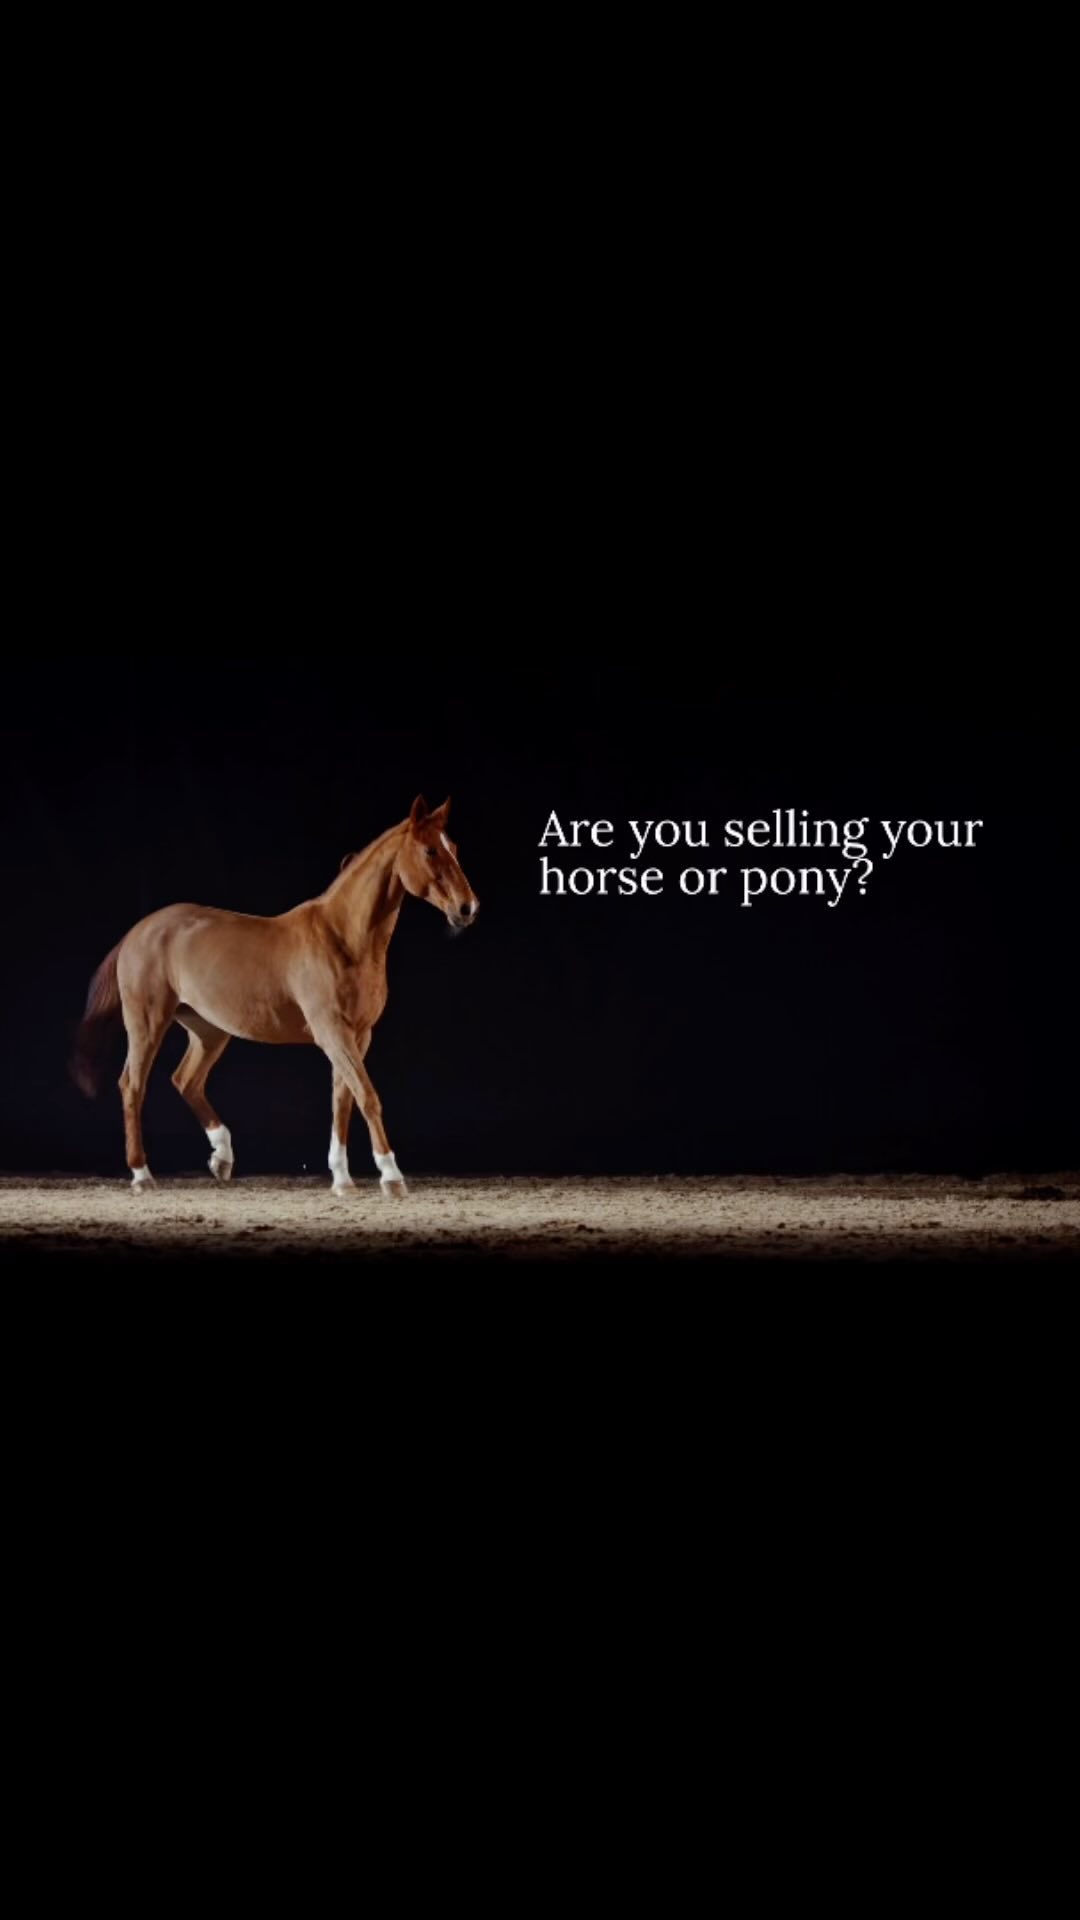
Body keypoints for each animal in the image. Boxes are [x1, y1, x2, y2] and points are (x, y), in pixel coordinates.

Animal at [70, 797, 479, 1197]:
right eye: (429, 850)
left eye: (454, 848)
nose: (467, 908)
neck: (342, 938)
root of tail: (137, 931)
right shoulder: (333, 1033)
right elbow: (367, 1096)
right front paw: (392, 1177)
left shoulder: (358, 1035)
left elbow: (343, 1100)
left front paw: (342, 1179)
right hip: (147, 1024)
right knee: (132, 1085)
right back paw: (142, 1174)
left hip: (208, 1030)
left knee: (185, 1080)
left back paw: (221, 1157)